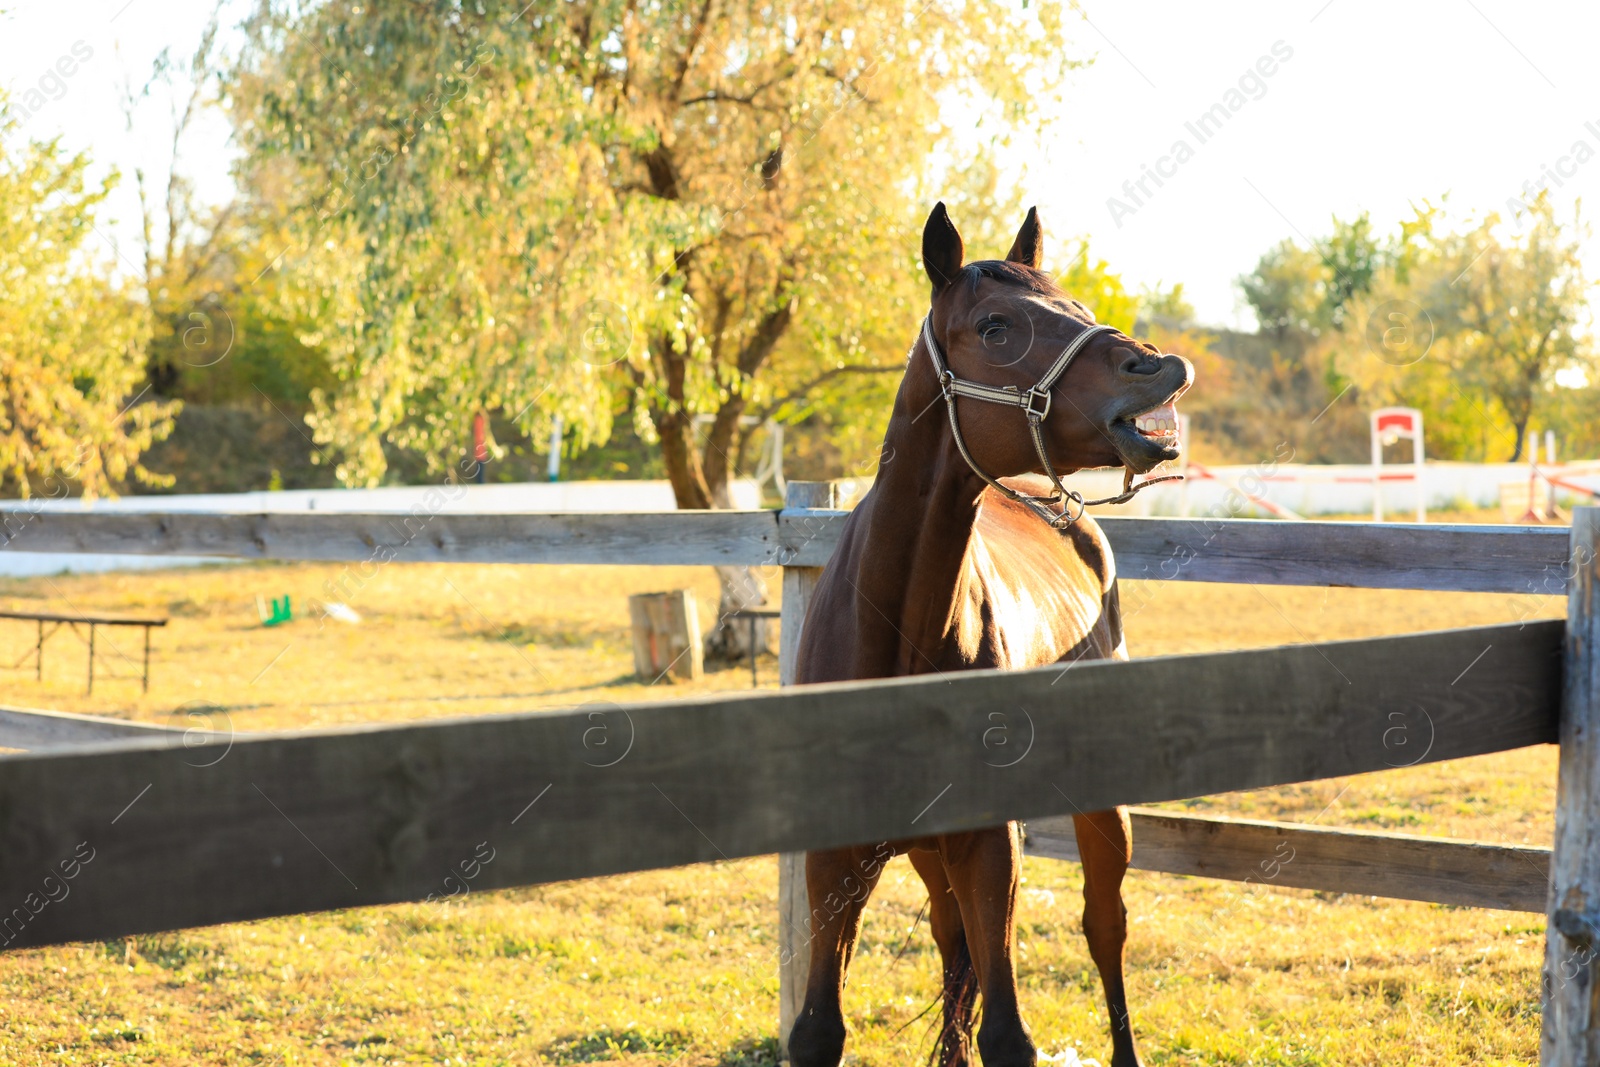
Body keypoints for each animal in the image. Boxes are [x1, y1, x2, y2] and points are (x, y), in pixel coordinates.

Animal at [787, 202, 1190, 1067]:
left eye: (1074, 304)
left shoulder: (988, 847)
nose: (1158, 368)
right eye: (996, 326)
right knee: (951, 945)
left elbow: (1007, 1029)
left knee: (1104, 930)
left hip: (1097, 818)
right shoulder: (837, 858)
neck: (895, 637)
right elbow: (819, 1029)